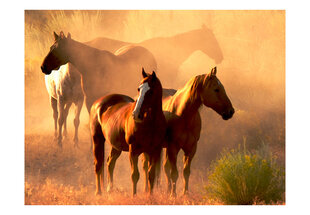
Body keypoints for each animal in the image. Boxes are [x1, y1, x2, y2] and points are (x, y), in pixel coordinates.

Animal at [143, 67, 235, 197]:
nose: (231, 111)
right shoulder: (173, 147)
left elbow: (185, 172)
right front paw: (173, 195)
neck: (183, 114)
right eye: (216, 89)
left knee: (164, 167)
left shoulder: (191, 148)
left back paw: (166, 190)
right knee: (146, 167)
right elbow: (174, 173)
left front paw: (185, 193)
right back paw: (147, 190)